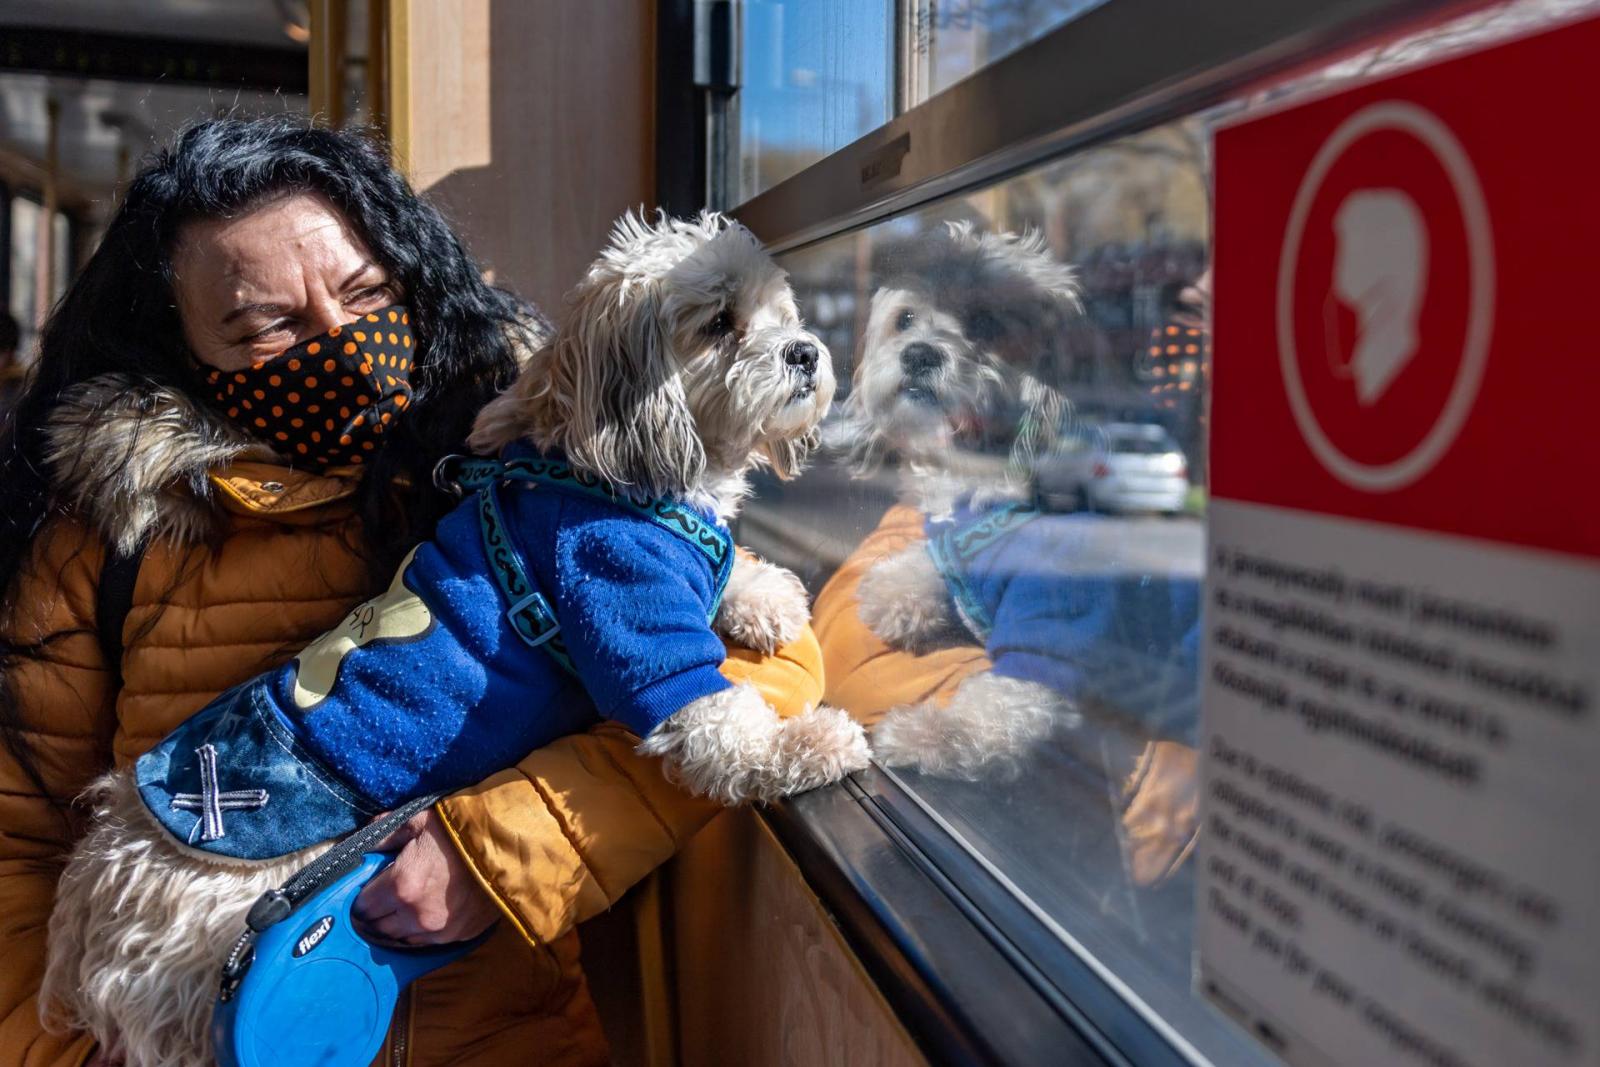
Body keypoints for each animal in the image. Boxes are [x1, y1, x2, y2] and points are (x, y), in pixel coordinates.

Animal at [844, 220, 1081, 780]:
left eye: (986, 322)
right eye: (905, 319)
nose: (920, 353)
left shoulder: (1049, 637)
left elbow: (995, 711)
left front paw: (927, 732)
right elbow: (931, 554)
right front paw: (893, 591)